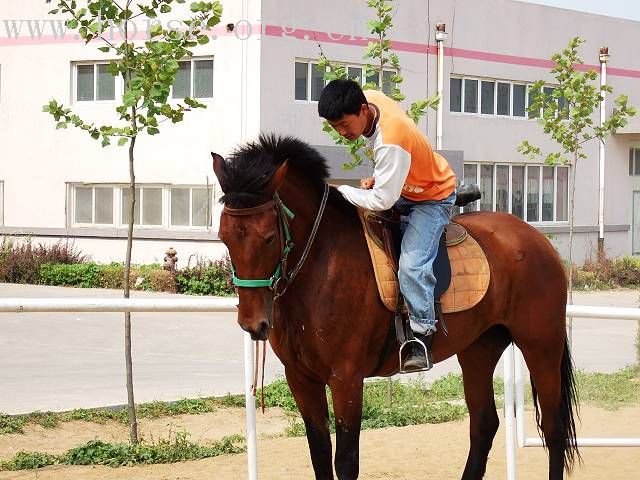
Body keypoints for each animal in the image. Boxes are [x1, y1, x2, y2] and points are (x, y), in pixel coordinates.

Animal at [211, 135, 580, 480]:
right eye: (224, 235)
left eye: (269, 237)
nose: (253, 323)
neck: (320, 263)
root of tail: (536, 239)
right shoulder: (300, 378)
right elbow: (319, 455)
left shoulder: (346, 378)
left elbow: (345, 461)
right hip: (479, 348)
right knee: (484, 423)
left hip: (541, 346)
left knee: (553, 428)